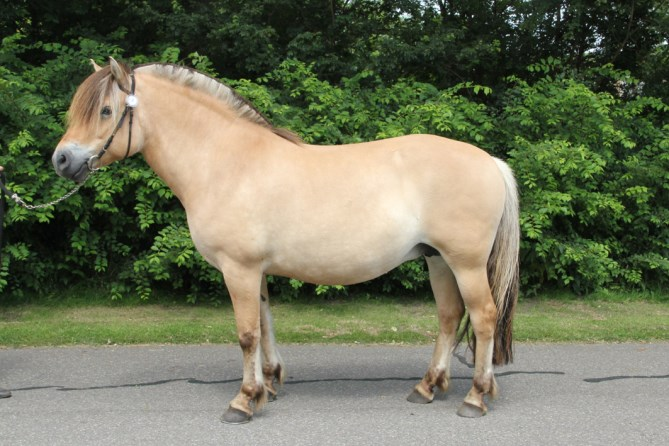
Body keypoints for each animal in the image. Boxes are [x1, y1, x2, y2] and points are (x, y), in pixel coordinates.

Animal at [53, 57, 520, 424]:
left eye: (106, 110)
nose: (61, 159)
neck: (225, 162)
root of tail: (490, 161)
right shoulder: (252, 270)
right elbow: (263, 324)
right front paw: (269, 385)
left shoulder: (238, 269)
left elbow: (246, 333)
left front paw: (243, 402)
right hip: (437, 260)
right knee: (448, 316)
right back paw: (427, 387)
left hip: (465, 263)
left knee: (483, 317)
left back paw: (475, 397)